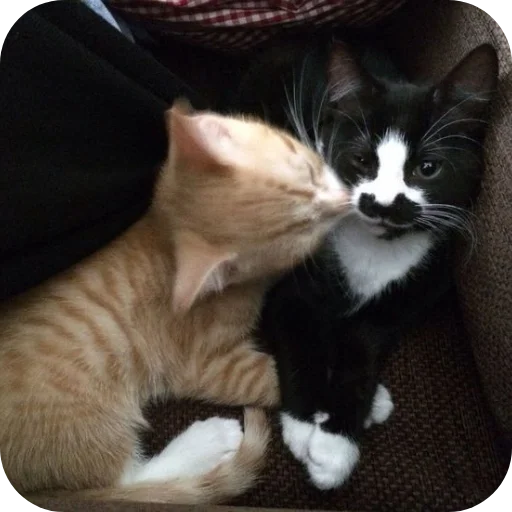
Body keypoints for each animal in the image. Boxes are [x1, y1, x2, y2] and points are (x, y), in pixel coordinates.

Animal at [0, 100, 351, 503]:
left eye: (310, 169)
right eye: (306, 235)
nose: (346, 203)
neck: (163, 237)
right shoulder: (205, 364)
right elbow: (269, 378)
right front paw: (365, 406)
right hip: (78, 419)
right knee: (130, 481)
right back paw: (207, 441)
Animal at [231, 39, 499, 490]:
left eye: (427, 168)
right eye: (361, 161)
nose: (381, 203)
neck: (376, 248)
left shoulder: (419, 286)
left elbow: (364, 343)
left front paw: (335, 443)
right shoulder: (293, 286)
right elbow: (299, 332)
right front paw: (306, 425)